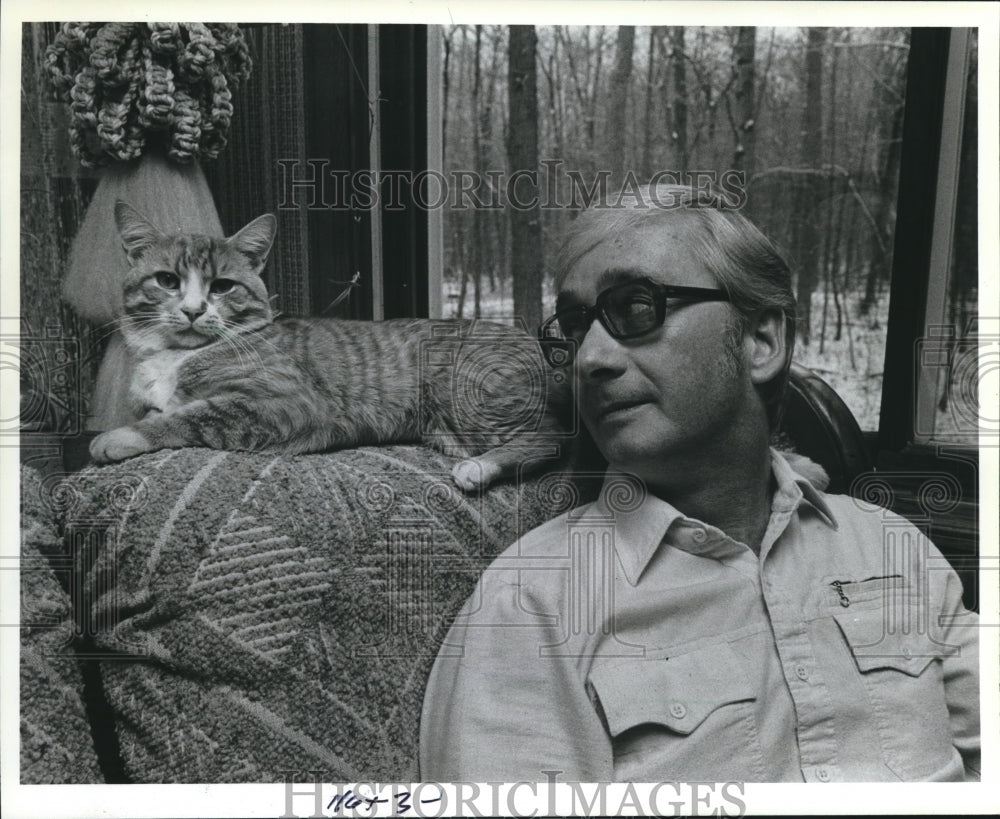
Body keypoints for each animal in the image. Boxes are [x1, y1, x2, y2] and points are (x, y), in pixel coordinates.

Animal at [94, 201, 580, 490]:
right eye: (167, 280)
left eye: (222, 286)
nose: (194, 310)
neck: (177, 356)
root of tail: (543, 349)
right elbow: (164, 411)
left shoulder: (286, 403)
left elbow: (190, 416)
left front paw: (117, 437)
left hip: (467, 397)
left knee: (553, 436)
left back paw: (480, 468)